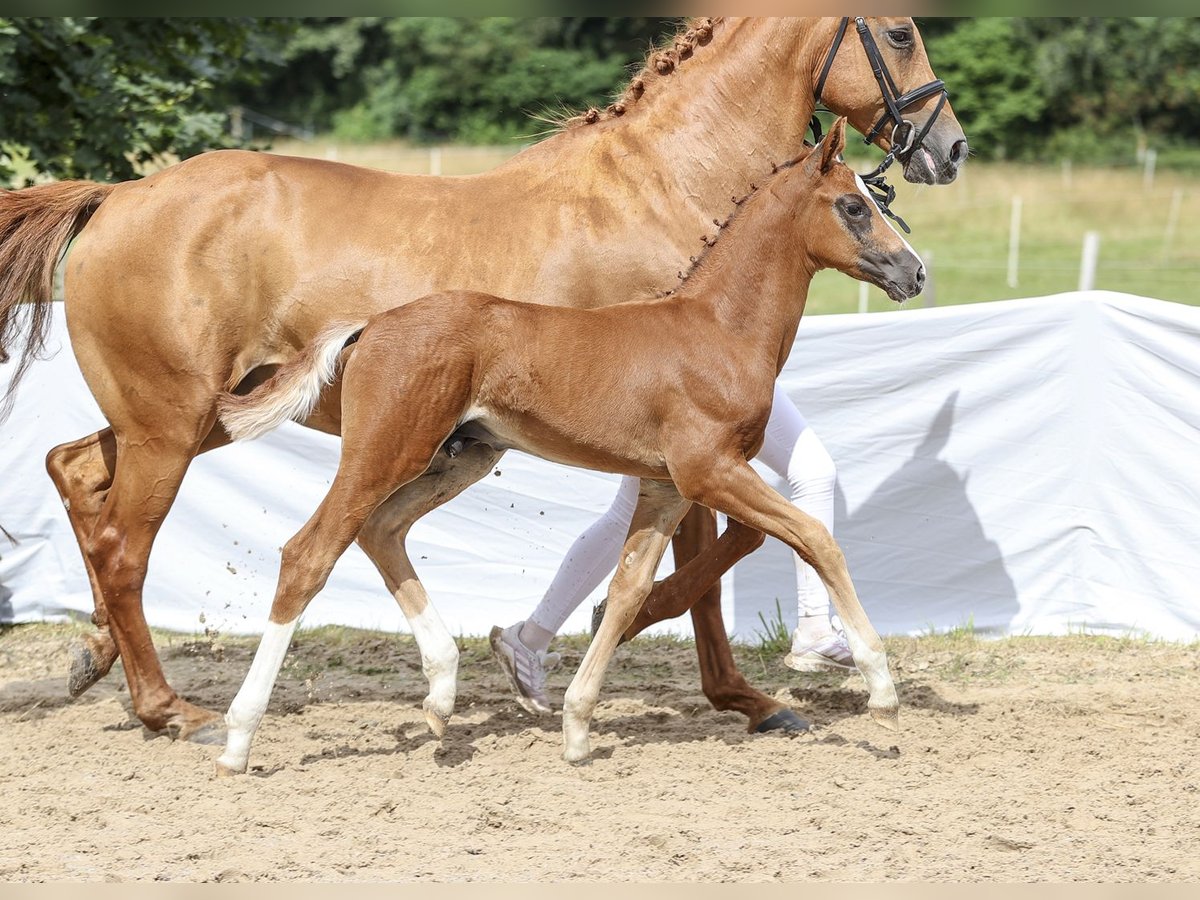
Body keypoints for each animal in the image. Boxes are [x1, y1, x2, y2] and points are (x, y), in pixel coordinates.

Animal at [211, 116, 916, 772]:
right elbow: (814, 537)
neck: (717, 329)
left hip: (461, 458)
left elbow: (630, 588)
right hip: (386, 451)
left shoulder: (664, 487)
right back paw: (239, 739)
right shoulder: (707, 470)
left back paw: (441, 695)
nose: (913, 271)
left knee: (380, 531)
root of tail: (372, 324)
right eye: (853, 206)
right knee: (310, 553)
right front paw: (881, 688)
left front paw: (577, 726)